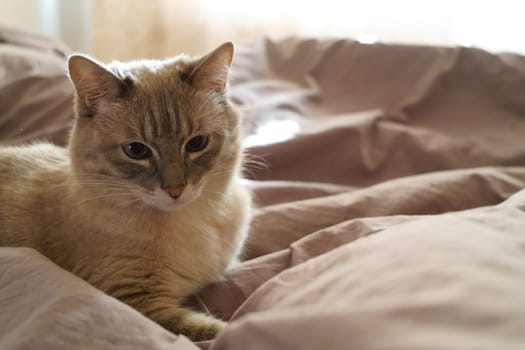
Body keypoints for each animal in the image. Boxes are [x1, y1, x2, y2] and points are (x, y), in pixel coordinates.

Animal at [0, 41, 252, 342]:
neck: (192, 220)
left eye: (197, 143)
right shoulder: (136, 300)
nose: (175, 190)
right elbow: (220, 331)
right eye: (136, 150)